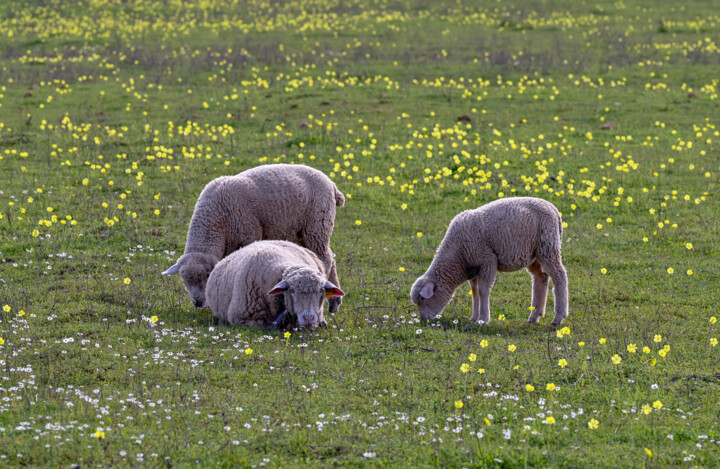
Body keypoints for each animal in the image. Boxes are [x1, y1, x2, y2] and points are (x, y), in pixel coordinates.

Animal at [161, 163, 346, 312]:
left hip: (317, 224)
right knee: (329, 257)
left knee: (325, 258)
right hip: (301, 231)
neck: (215, 220)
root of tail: (331, 184)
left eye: (206, 276)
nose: (198, 303)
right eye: (184, 281)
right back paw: (334, 302)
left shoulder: (248, 235)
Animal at [410, 197, 568, 326]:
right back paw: (535, 315)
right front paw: (474, 318)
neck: (458, 256)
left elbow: (482, 291)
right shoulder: (474, 267)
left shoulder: (487, 260)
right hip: (533, 254)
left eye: (422, 299)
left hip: (547, 246)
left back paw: (558, 317)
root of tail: (553, 209)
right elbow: (474, 292)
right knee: (540, 278)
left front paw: (483, 319)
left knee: (559, 275)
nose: (423, 319)